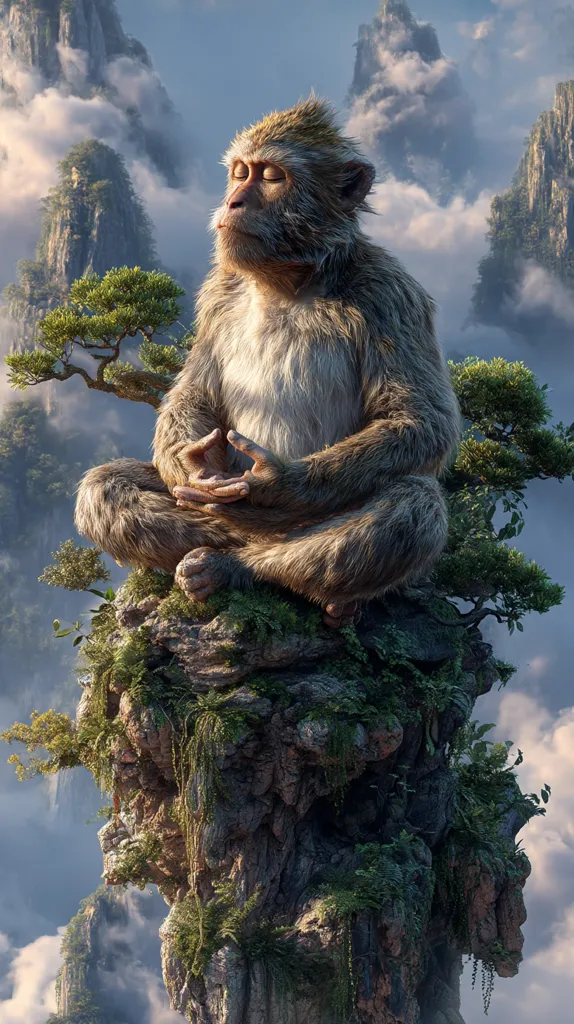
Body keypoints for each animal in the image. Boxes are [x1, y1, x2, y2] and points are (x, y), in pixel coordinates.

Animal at [75, 97, 461, 628]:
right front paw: (192, 465)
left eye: (272, 176)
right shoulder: (218, 292)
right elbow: (195, 393)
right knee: (105, 487)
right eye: (241, 173)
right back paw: (212, 550)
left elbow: (419, 420)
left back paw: (245, 568)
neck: (288, 281)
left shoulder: (390, 293)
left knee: (413, 507)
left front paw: (273, 483)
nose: (236, 201)